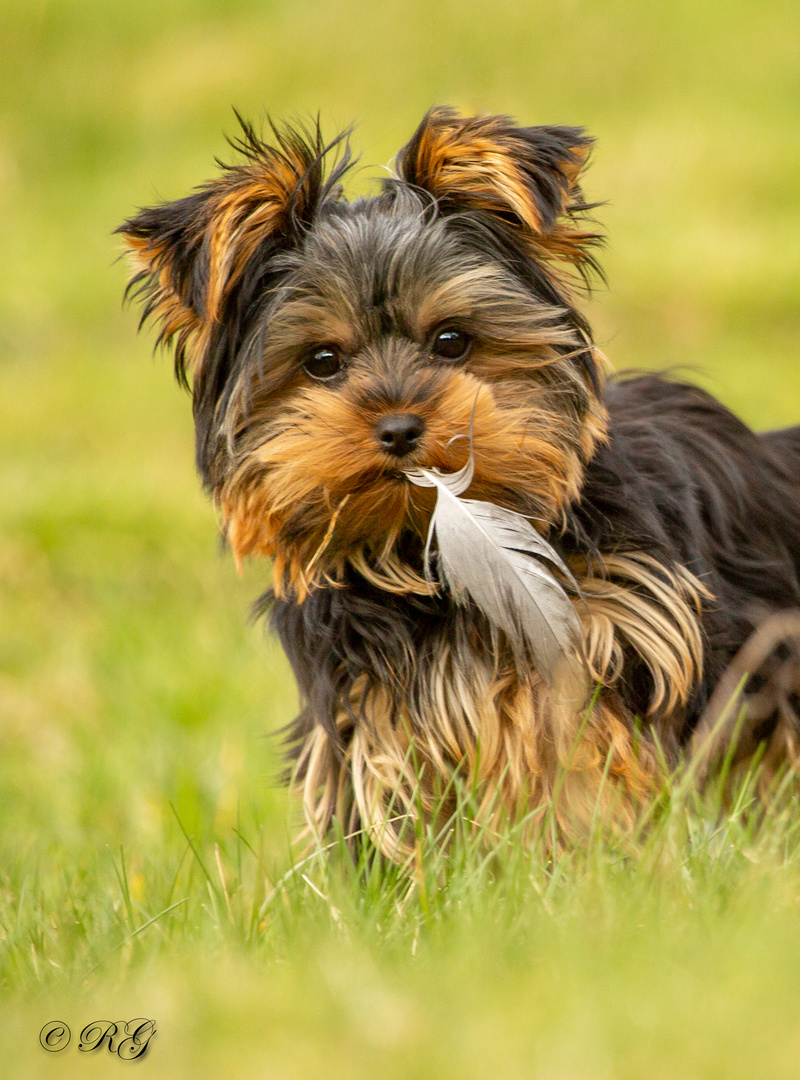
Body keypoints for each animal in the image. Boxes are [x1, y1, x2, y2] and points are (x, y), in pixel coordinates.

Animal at [117, 107, 798, 851]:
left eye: (451, 340)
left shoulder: (617, 633)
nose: (398, 428)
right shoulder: (376, 707)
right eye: (321, 361)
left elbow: (582, 747)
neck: (420, 555)